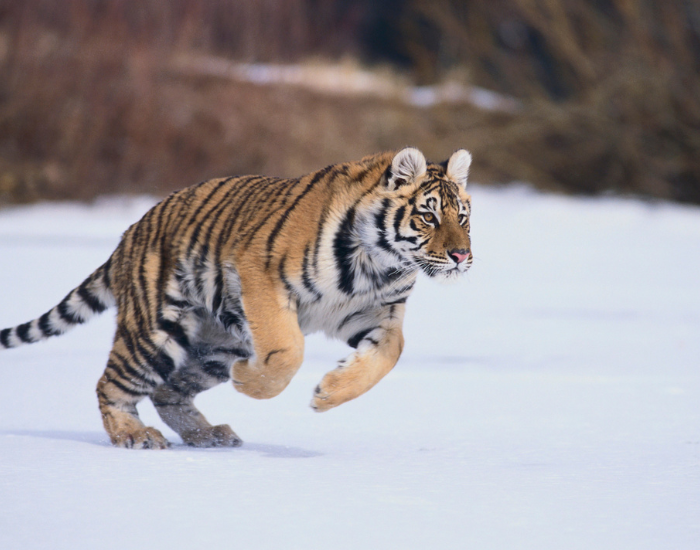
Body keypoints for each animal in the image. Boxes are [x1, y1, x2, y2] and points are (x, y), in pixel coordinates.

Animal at [0, 147, 473, 449]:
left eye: (463, 217)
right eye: (428, 216)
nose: (461, 255)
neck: (377, 264)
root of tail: (128, 234)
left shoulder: (375, 314)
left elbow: (388, 355)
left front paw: (327, 393)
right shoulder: (261, 277)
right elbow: (287, 350)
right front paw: (251, 382)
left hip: (217, 347)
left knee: (168, 392)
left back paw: (209, 435)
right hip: (155, 332)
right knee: (112, 385)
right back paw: (134, 436)